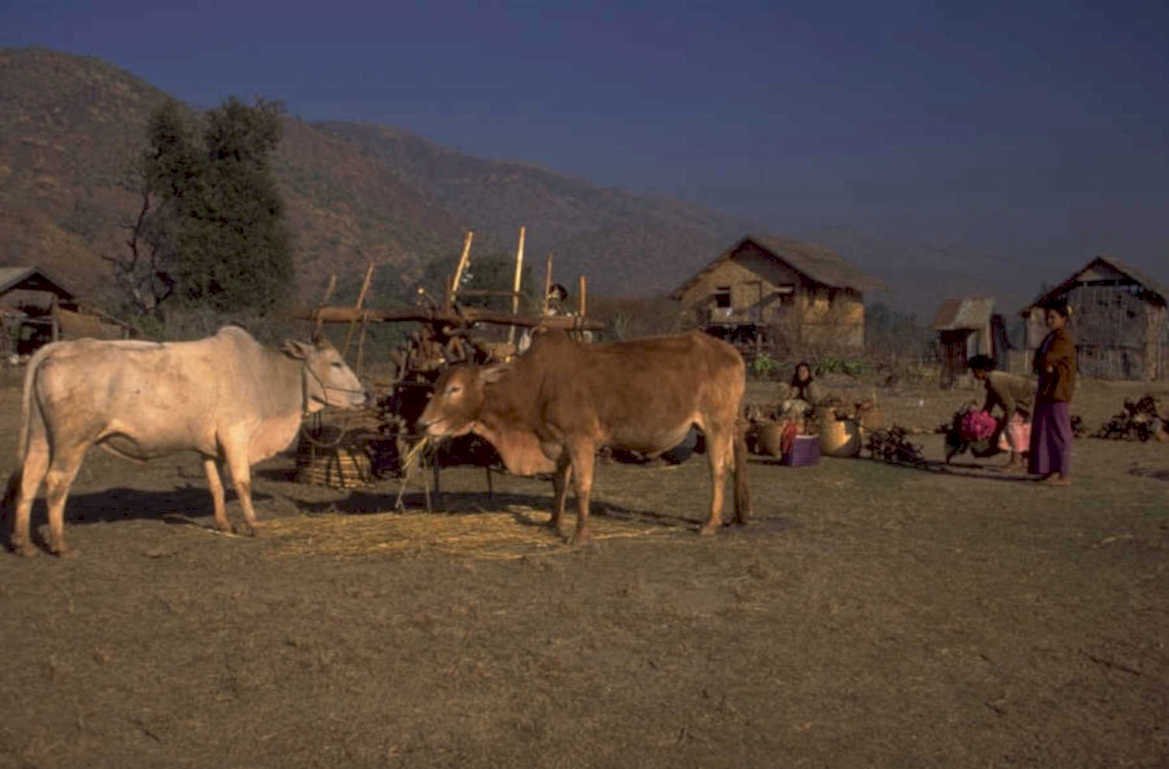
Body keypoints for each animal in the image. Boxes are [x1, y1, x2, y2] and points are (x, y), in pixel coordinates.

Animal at [4, 326, 367, 557]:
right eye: (336, 362)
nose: (366, 395)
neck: (265, 376)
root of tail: (59, 347)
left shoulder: (209, 447)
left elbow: (217, 486)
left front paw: (224, 523)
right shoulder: (236, 435)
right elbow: (242, 482)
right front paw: (253, 524)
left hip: (40, 437)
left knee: (29, 480)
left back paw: (23, 544)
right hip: (72, 441)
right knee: (55, 483)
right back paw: (60, 545)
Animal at [418, 329, 750, 544]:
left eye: (455, 388)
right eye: (436, 386)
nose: (423, 424)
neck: (537, 385)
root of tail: (732, 353)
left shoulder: (581, 440)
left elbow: (582, 485)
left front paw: (579, 534)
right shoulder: (558, 443)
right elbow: (559, 483)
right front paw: (553, 523)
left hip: (715, 424)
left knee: (718, 469)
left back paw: (710, 524)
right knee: (733, 465)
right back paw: (735, 518)